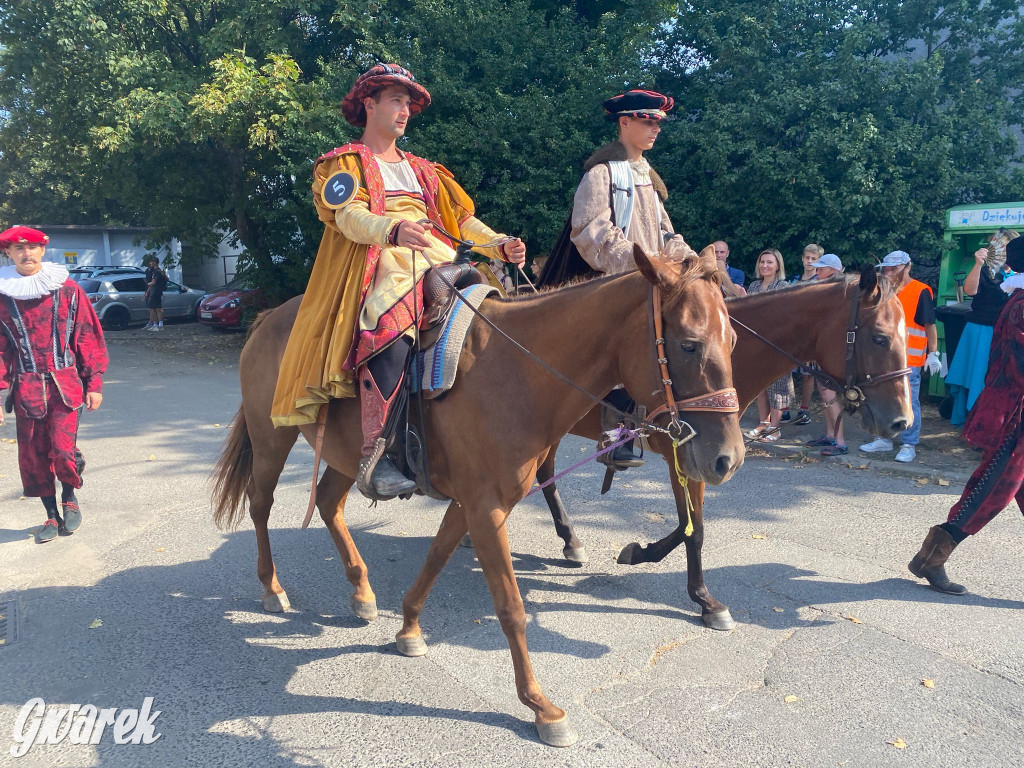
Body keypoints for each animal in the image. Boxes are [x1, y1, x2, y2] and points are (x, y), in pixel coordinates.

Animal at [214, 249, 745, 749]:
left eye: (734, 342)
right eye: (689, 343)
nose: (728, 459)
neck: (516, 372)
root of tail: (269, 318)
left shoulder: (473, 503)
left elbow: (437, 556)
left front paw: (408, 627)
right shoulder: (486, 509)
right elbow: (511, 608)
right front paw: (541, 706)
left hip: (346, 457)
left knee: (328, 503)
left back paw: (362, 592)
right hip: (272, 436)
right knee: (260, 505)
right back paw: (271, 588)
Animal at [536, 270, 913, 630]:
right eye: (880, 337)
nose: (902, 422)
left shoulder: (705, 461)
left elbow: (689, 526)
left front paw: (641, 553)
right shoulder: (687, 459)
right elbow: (694, 530)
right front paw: (706, 601)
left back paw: (570, 540)